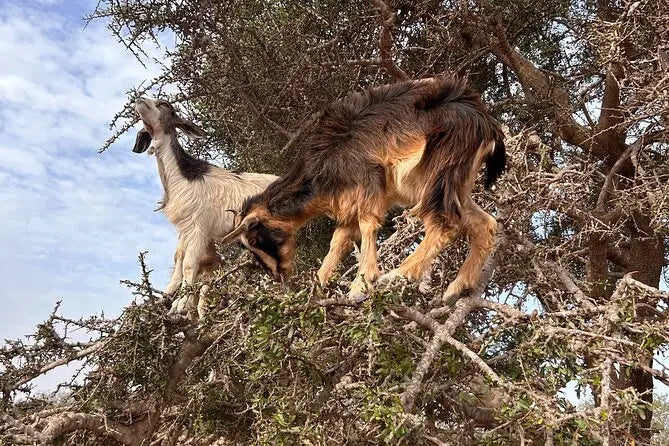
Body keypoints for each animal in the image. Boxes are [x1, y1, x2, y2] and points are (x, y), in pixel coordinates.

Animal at [133, 97, 278, 317]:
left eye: (165, 104)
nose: (140, 100)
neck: (183, 176)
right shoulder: (184, 228)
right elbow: (178, 257)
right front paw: (170, 295)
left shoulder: (197, 228)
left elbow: (189, 265)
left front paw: (181, 304)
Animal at [220, 77, 506, 299]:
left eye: (255, 239)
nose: (277, 274)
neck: (325, 162)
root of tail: (486, 123)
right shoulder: (349, 202)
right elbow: (339, 240)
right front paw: (318, 285)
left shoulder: (368, 182)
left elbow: (368, 224)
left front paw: (362, 284)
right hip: (457, 181)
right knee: (484, 223)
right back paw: (457, 288)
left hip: (440, 169)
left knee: (445, 224)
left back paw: (399, 275)